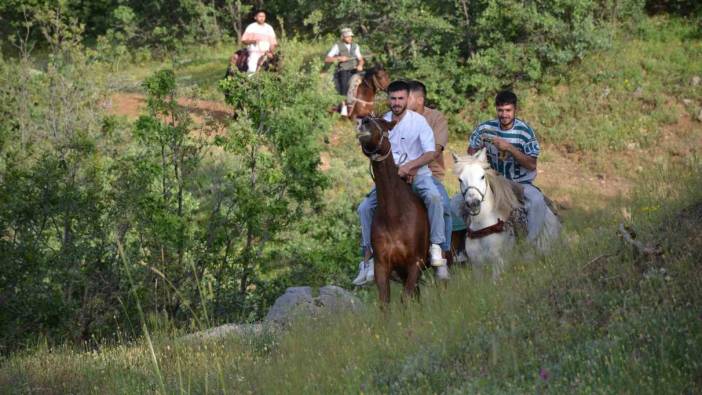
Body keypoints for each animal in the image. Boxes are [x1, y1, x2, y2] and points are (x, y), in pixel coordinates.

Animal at [360, 116, 432, 304]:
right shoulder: (382, 266)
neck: (394, 215)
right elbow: (385, 301)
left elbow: (405, 298)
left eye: (383, 124)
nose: (364, 121)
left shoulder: (415, 263)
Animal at [454, 148, 564, 278]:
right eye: (460, 179)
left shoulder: (498, 264)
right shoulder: (477, 267)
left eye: (482, 176)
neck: (483, 226)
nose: (473, 203)